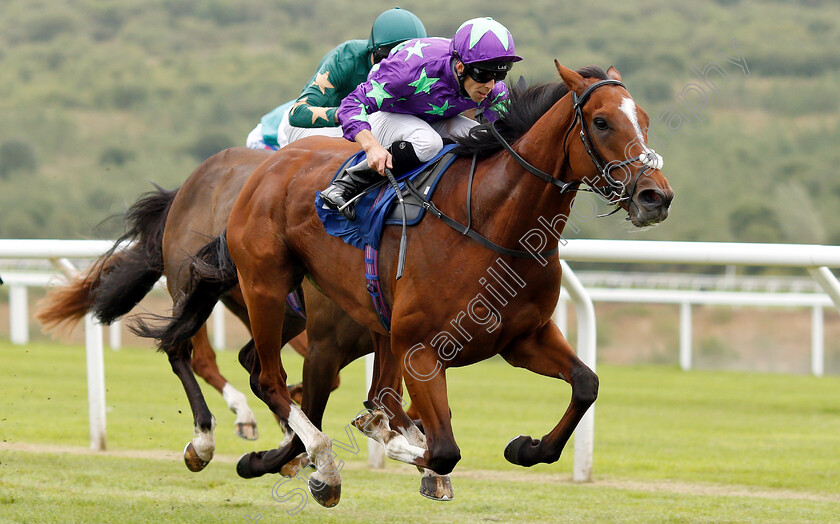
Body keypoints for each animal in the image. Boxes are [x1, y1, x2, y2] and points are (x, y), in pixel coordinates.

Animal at [154, 63, 672, 506]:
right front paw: (390, 442)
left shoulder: (523, 338)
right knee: (265, 377)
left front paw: (527, 447)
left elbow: (586, 384)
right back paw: (315, 461)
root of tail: (264, 168)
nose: (656, 196)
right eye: (602, 122)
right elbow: (440, 448)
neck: (493, 225)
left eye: (644, 120)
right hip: (266, 286)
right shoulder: (418, 349)